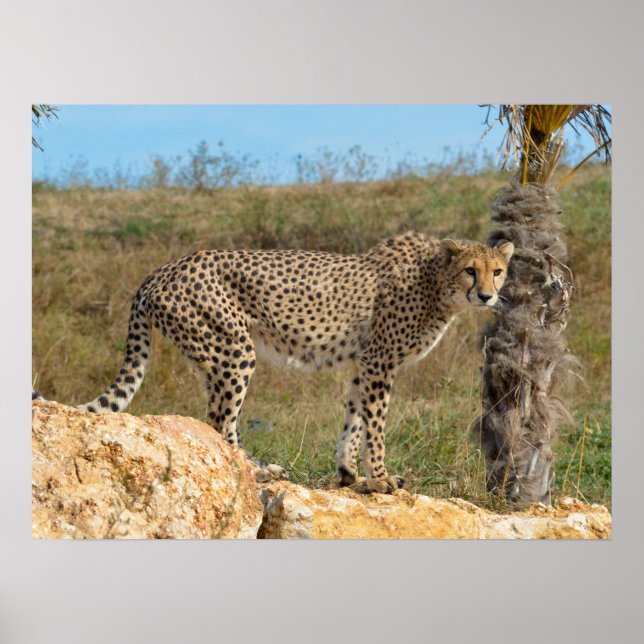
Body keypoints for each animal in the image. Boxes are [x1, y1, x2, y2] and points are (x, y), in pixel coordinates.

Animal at [68, 231, 514, 493]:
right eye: (470, 270)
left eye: (498, 271)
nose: (488, 296)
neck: (436, 282)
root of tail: (164, 268)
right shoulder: (379, 361)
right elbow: (376, 425)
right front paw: (381, 478)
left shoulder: (364, 363)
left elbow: (354, 419)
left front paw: (349, 474)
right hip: (235, 349)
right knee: (222, 422)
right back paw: (255, 473)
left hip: (216, 355)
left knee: (218, 419)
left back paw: (258, 468)